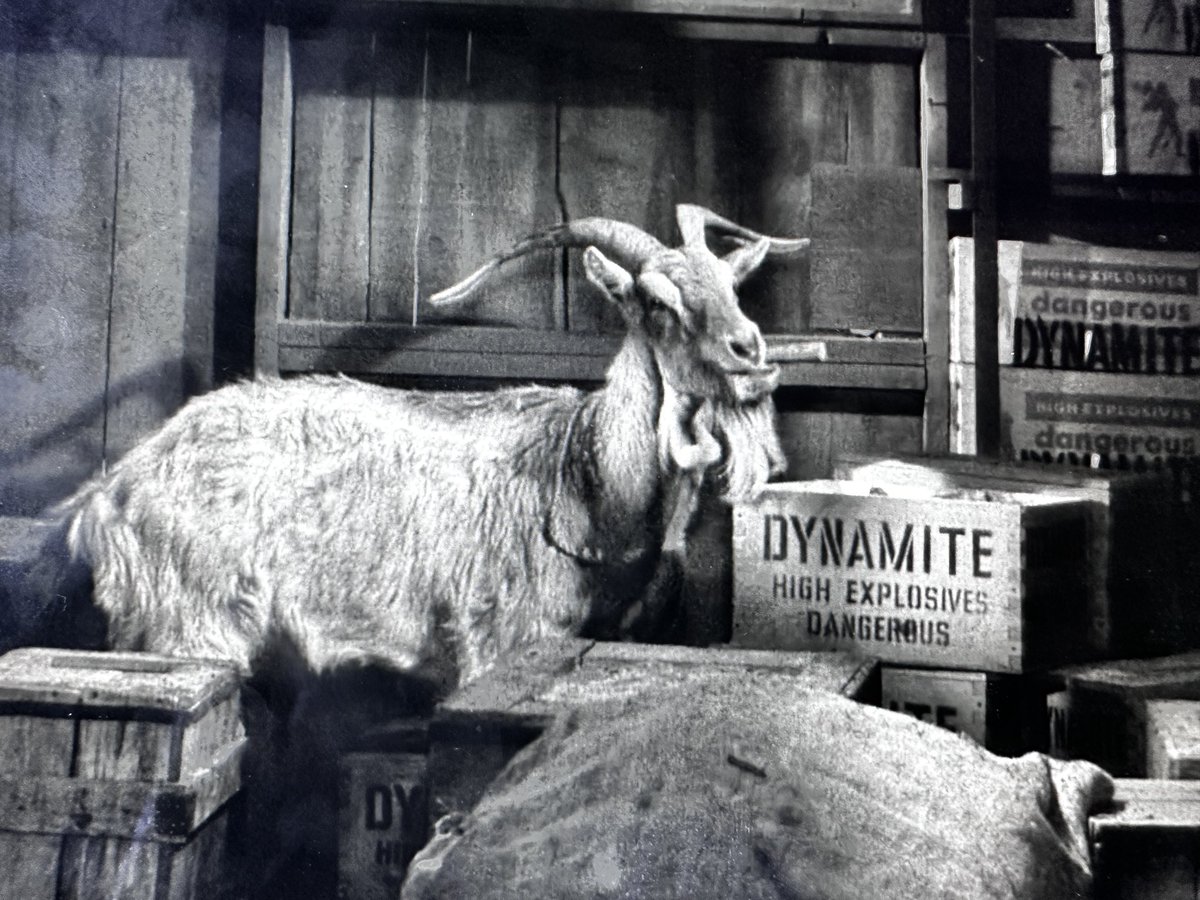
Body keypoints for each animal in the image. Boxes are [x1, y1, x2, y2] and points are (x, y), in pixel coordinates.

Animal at [55, 205, 808, 686]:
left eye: (732, 285)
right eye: (656, 302)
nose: (751, 352)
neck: (579, 476)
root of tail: (107, 494)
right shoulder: (494, 635)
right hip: (189, 625)